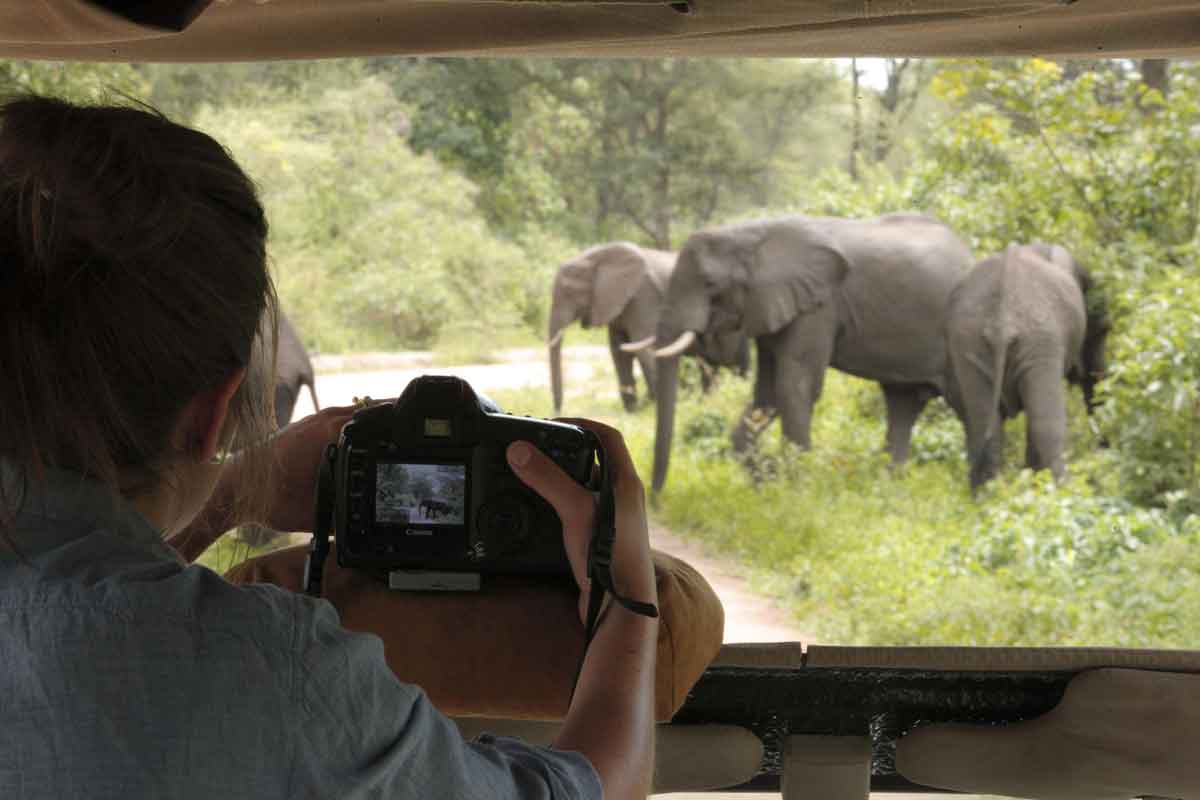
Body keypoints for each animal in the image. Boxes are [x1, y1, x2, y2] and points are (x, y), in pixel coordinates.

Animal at [549, 241, 744, 417]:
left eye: (569, 293)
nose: (557, 412)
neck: (596, 256)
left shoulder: (644, 296)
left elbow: (643, 347)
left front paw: (650, 406)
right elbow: (619, 352)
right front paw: (634, 411)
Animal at [648, 209, 974, 491]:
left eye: (710, 283)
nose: (655, 497)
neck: (750, 234)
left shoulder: (819, 306)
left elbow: (795, 387)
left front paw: (795, 492)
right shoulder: (774, 306)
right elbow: (767, 393)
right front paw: (766, 482)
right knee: (902, 404)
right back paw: (888, 489)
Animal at [940, 241, 1108, 489]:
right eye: (1104, 332)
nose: (1105, 447)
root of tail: (1001, 321)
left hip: (968, 342)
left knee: (984, 426)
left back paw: (987, 494)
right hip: (1039, 339)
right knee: (1046, 425)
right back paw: (1060, 488)